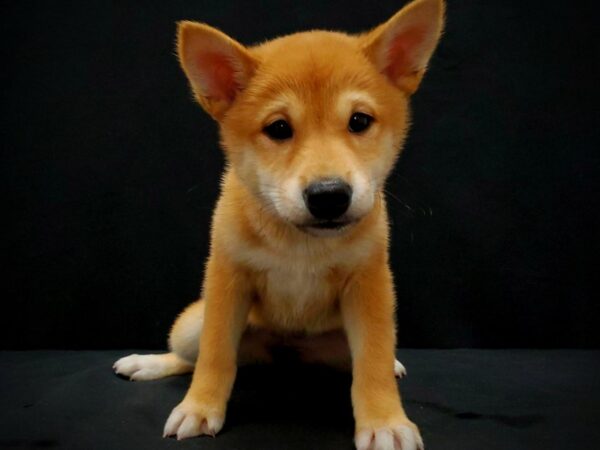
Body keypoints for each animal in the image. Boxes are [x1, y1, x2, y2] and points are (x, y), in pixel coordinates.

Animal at [113, 1, 446, 448]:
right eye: (279, 129)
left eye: (359, 121)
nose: (329, 195)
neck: (300, 243)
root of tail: (286, 352)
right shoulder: (227, 281)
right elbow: (215, 358)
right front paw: (199, 408)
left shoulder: (369, 284)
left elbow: (372, 364)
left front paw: (384, 422)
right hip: (191, 323)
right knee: (191, 357)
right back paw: (148, 364)